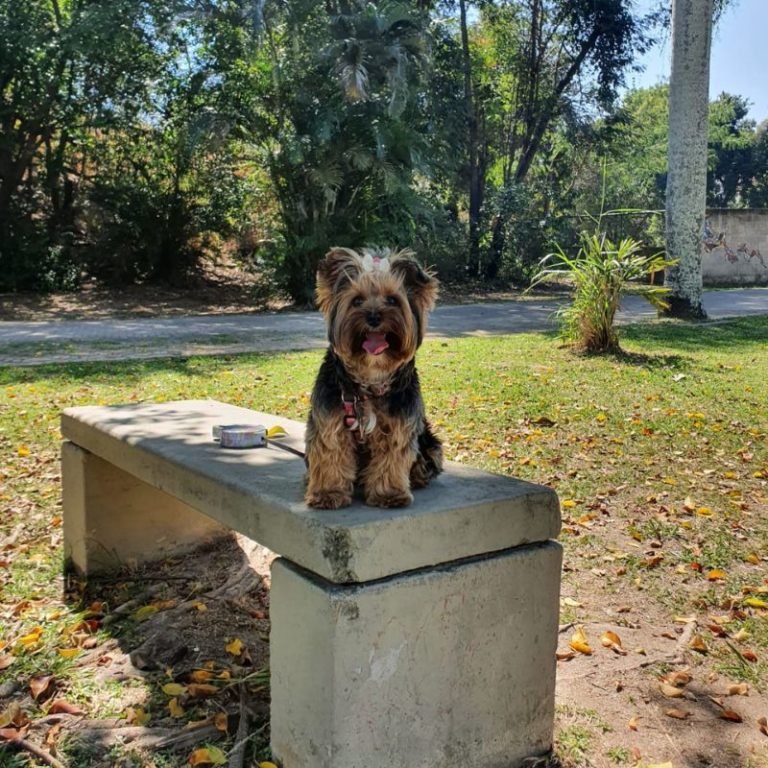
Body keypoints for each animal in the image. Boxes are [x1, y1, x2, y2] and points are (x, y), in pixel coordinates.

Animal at [304, 248, 440, 510]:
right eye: (357, 301)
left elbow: (392, 458)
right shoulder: (330, 422)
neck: (369, 380)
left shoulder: (398, 426)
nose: (374, 316)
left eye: (392, 300)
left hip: (430, 442)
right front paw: (328, 493)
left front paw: (389, 494)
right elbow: (330, 454)